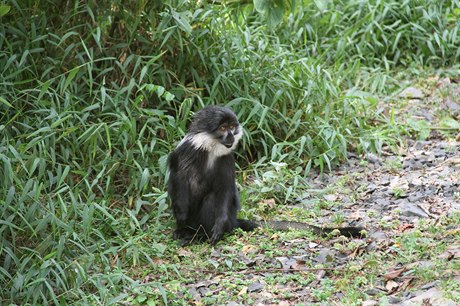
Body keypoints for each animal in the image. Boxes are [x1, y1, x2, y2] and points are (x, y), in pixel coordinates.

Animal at [167, 106, 364, 245]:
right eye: (223, 128)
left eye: (232, 127)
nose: (231, 136)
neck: (210, 149)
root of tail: (234, 221)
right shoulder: (187, 150)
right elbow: (178, 179)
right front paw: (181, 214)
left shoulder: (226, 158)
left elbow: (224, 190)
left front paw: (218, 225)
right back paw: (185, 231)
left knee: (211, 200)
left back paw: (201, 235)